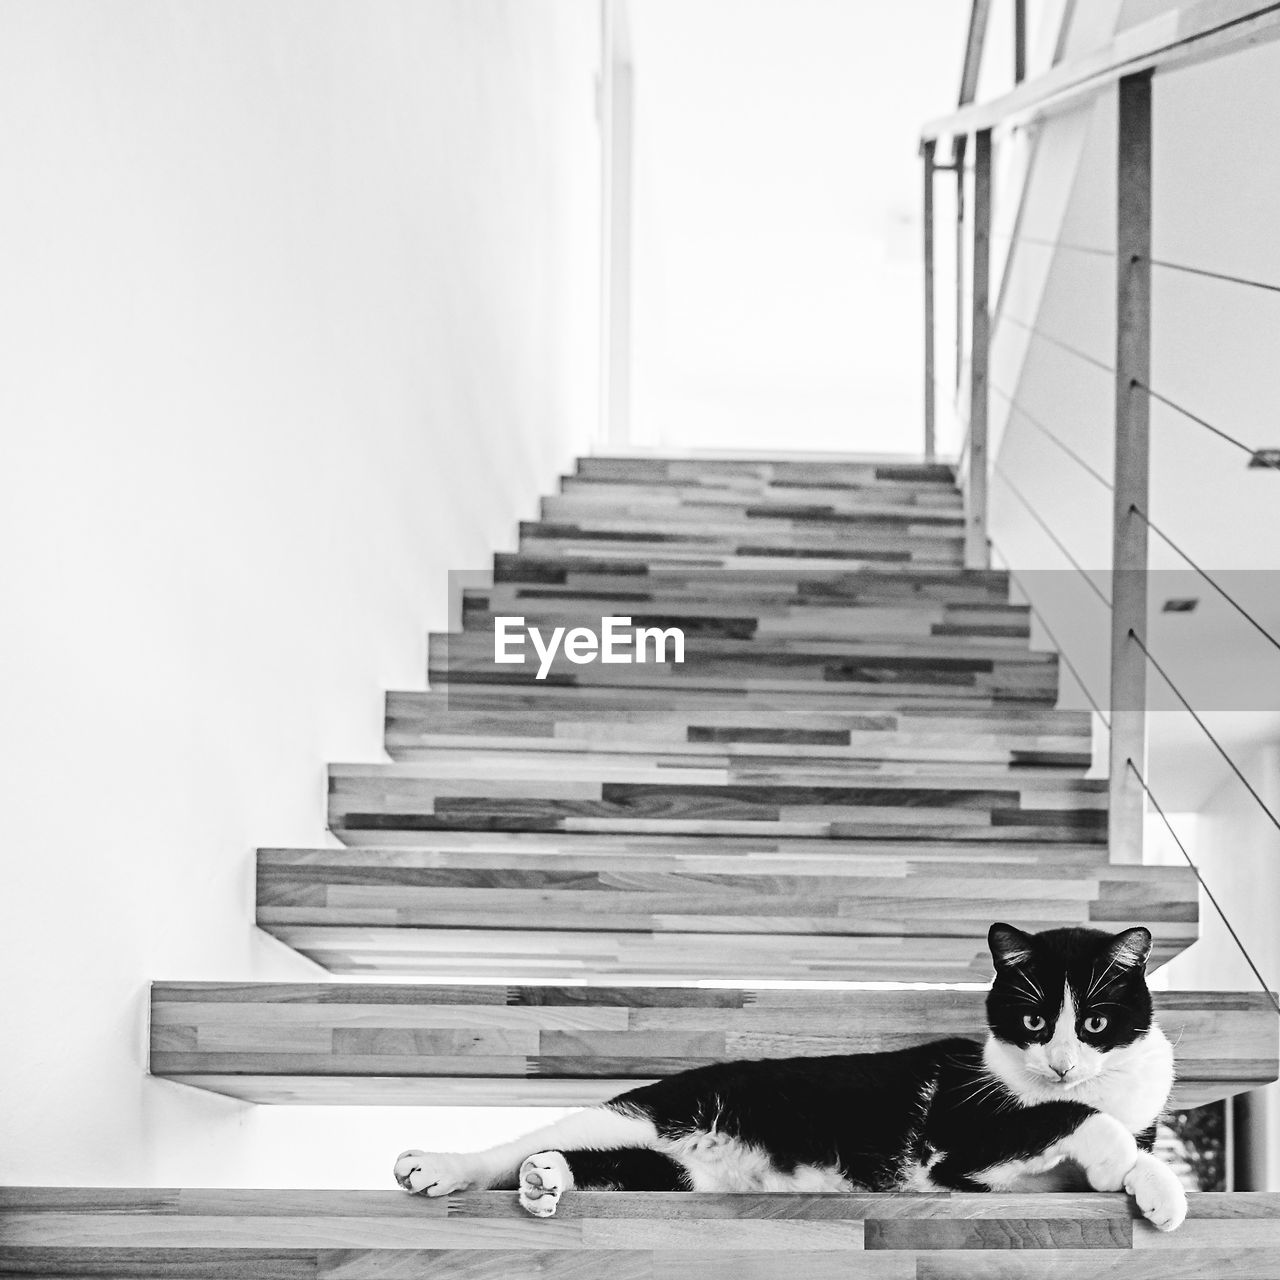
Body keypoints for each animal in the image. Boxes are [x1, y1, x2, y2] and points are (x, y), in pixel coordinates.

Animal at [391, 926, 1187, 1233]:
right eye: (1033, 1021)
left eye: (1095, 1023)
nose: (1062, 1064)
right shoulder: (956, 1156)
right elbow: (1079, 1120)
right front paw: (1121, 1160)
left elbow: (1127, 1142)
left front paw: (1159, 1190)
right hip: (654, 1108)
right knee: (516, 1144)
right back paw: (442, 1166)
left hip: (684, 1176)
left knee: (615, 1168)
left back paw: (548, 1178)